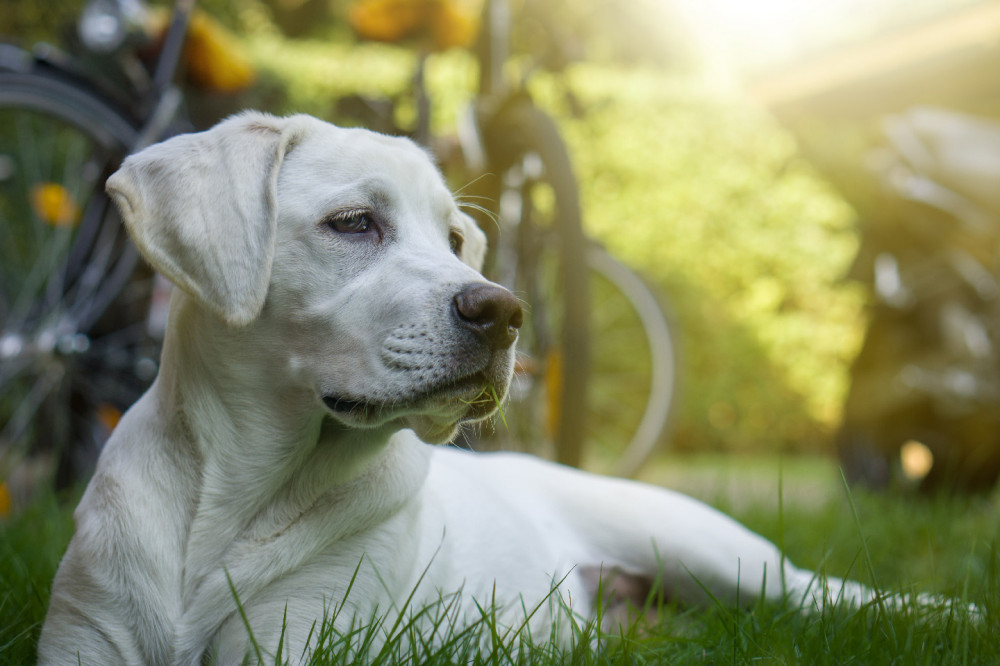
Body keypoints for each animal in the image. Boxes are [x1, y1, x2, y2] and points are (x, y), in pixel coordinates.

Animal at [41, 111, 884, 660]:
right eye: (354, 222)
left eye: (452, 238)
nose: (505, 312)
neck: (232, 503)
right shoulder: (88, 635)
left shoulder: (300, 638)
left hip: (717, 553)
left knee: (839, 595)